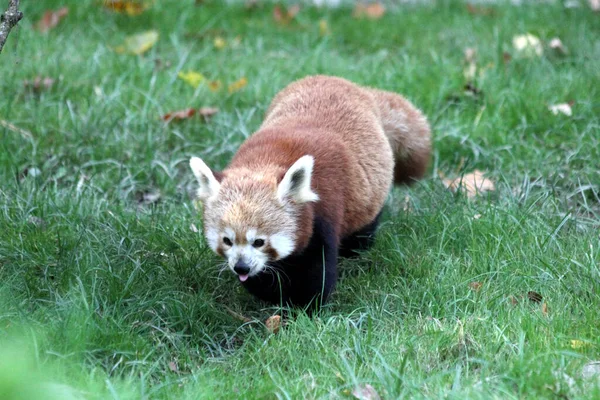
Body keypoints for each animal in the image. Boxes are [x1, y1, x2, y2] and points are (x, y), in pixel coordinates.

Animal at [190, 76, 428, 312]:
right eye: (227, 240)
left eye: (259, 241)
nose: (241, 267)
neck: (267, 159)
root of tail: (356, 87)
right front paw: (270, 292)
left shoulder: (324, 209)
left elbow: (316, 270)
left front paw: (306, 306)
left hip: (369, 194)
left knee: (362, 230)